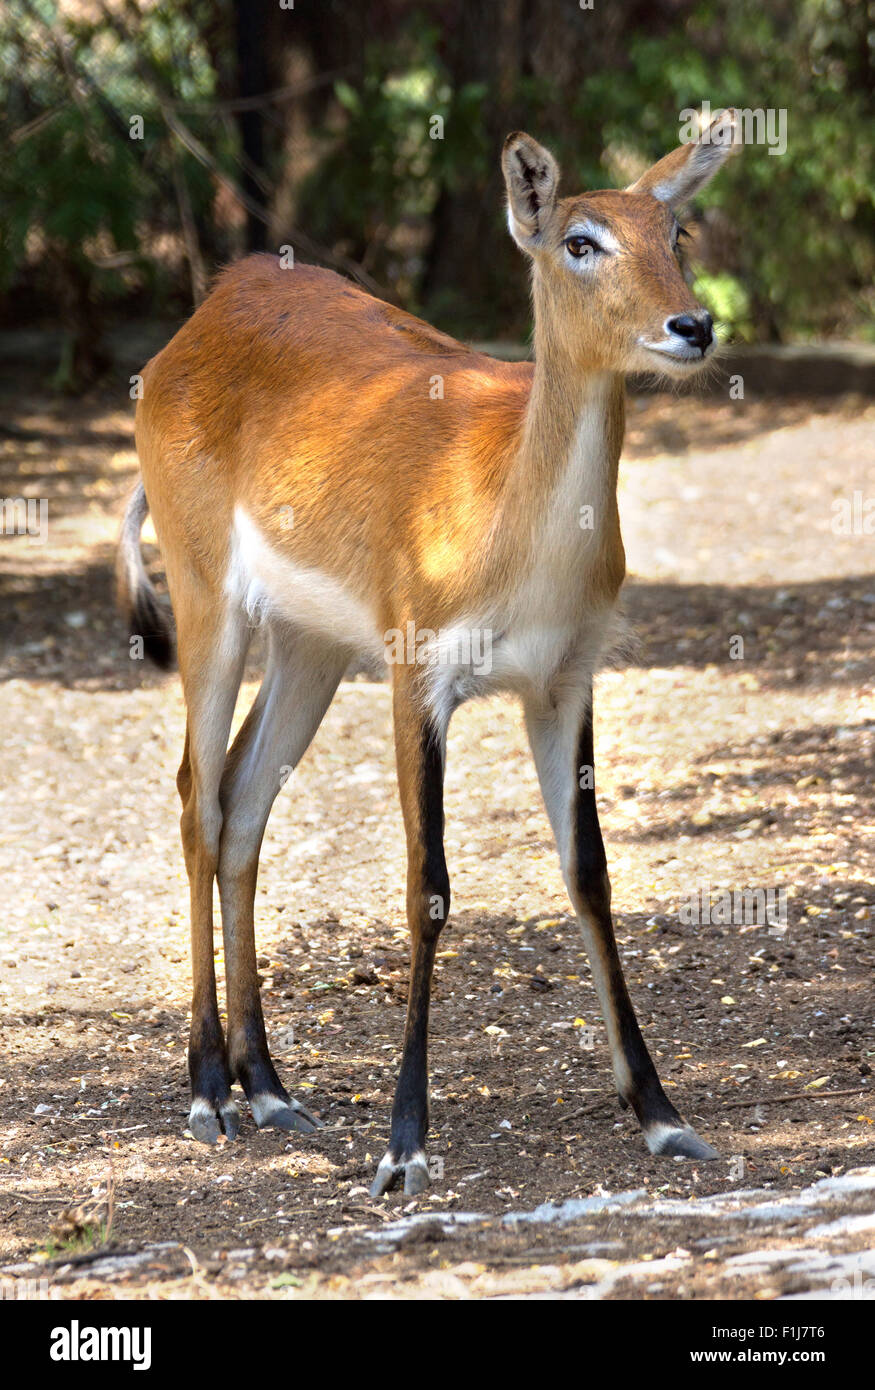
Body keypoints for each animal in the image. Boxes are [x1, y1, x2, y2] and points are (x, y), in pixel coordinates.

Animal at [117, 108, 734, 1195]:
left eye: (677, 233)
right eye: (580, 239)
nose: (691, 327)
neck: (506, 527)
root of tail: (212, 303)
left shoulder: (564, 680)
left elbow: (590, 872)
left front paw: (664, 1117)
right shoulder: (420, 674)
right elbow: (428, 886)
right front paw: (403, 1144)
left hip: (310, 647)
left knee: (243, 800)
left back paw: (268, 1087)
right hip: (205, 600)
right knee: (197, 795)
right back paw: (205, 1094)